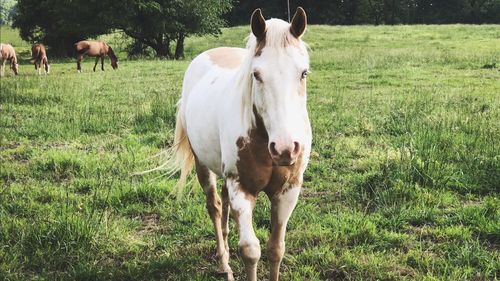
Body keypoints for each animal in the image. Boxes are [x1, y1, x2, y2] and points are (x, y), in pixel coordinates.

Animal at [166, 7, 310, 278]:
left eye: (303, 72)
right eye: (256, 74)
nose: (285, 149)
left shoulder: (287, 191)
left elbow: (276, 249)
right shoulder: (242, 189)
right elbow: (251, 251)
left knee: (224, 204)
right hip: (203, 165)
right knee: (214, 205)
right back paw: (224, 263)